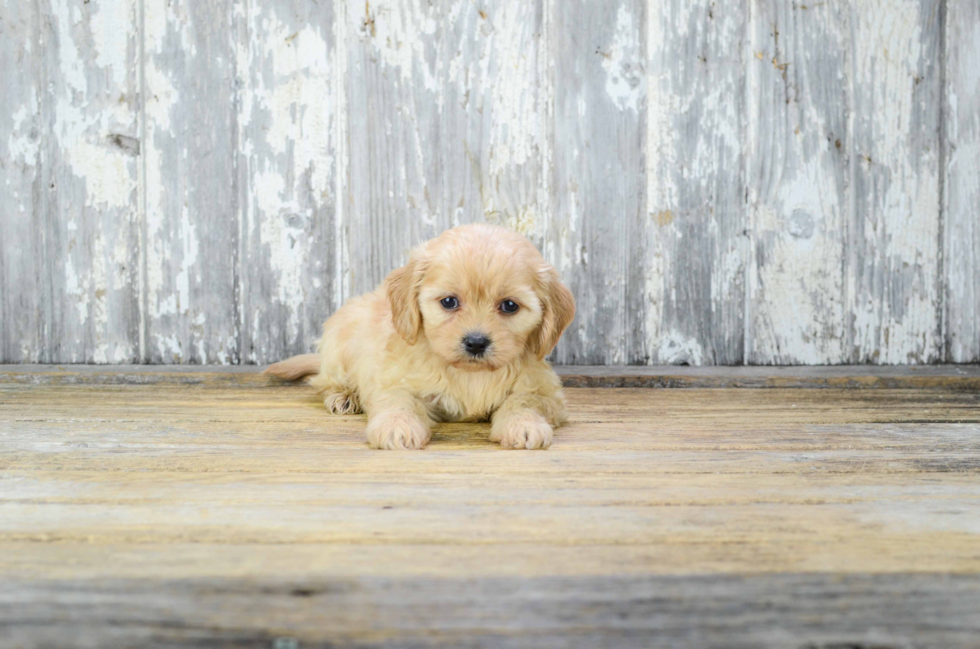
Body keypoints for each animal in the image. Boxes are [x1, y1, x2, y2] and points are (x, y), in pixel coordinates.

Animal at [264, 224, 580, 450]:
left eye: (510, 306)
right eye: (449, 302)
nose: (476, 342)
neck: (469, 374)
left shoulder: (546, 391)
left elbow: (523, 401)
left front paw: (523, 425)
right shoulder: (393, 380)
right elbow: (399, 402)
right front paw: (397, 427)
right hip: (338, 347)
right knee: (324, 381)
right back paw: (343, 397)